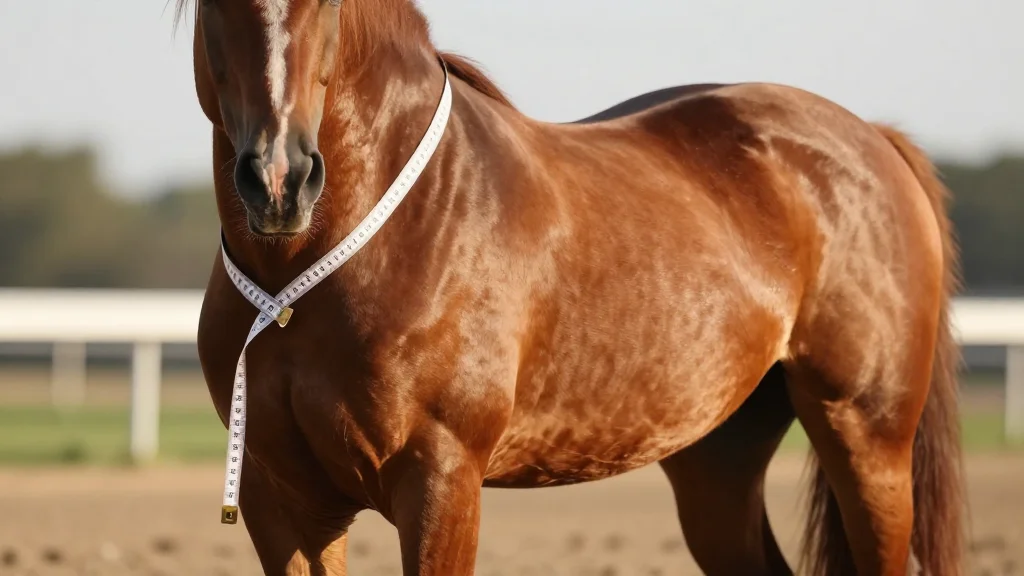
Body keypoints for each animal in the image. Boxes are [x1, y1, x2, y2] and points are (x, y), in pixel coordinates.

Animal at [176, 1, 966, 574]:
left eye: (327, 4)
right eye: (217, 2)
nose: (279, 182)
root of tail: (872, 138)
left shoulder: (440, 482)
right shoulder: (284, 502)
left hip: (868, 438)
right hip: (717, 461)